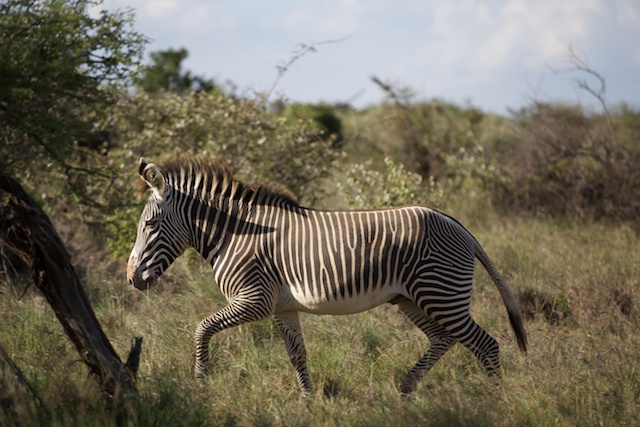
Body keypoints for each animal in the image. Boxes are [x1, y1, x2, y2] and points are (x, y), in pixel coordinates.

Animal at [127, 155, 528, 396]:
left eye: (149, 225)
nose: (131, 279)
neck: (234, 234)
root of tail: (459, 226)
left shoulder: (255, 300)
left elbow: (201, 328)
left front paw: (201, 379)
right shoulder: (283, 307)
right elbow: (296, 354)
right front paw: (308, 399)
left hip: (440, 294)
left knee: (485, 344)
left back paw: (495, 400)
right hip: (411, 298)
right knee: (444, 339)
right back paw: (404, 388)